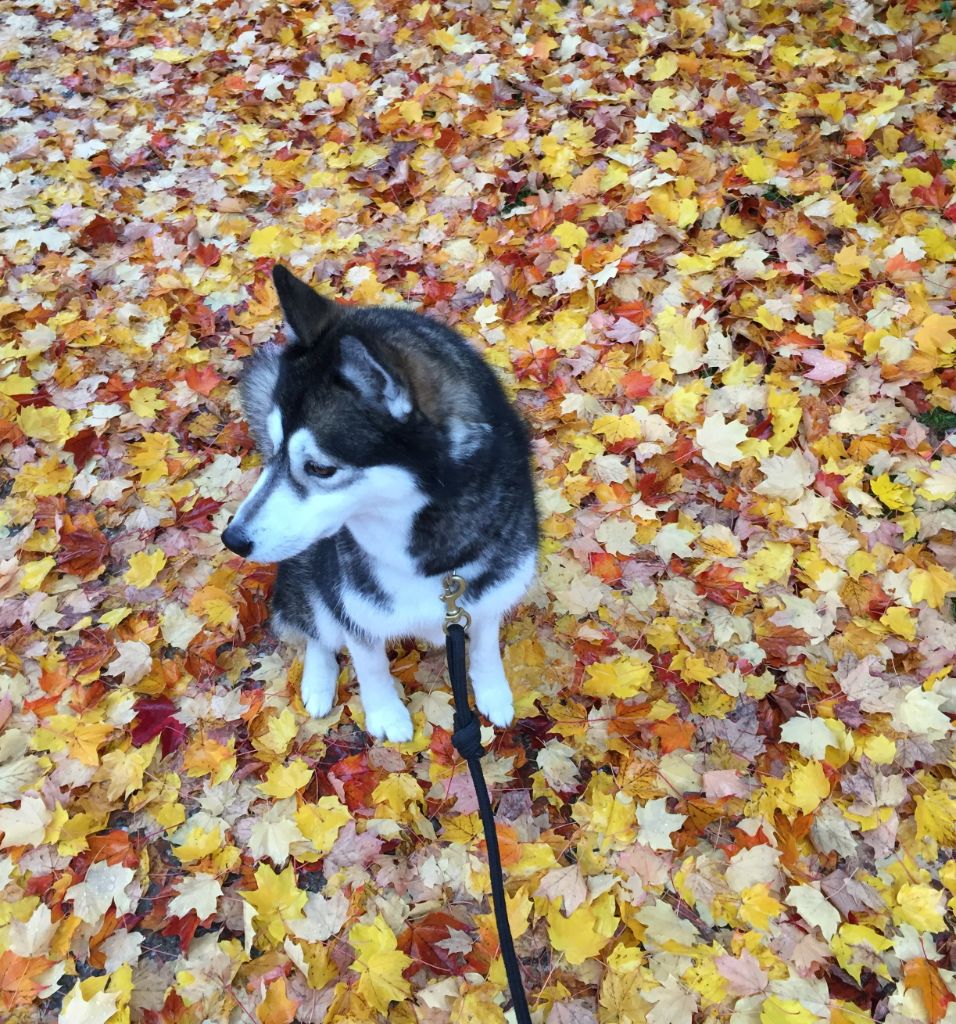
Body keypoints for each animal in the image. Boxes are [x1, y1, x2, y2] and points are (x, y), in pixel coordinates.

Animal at [221, 268, 544, 741]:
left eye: (319, 468)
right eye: (274, 449)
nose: (233, 538)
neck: (429, 560)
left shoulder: (489, 596)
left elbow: (485, 646)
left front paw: (492, 691)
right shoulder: (351, 605)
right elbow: (369, 662)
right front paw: (385, 713)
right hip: (311, 573)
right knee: (316, 631)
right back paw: (318, 680)